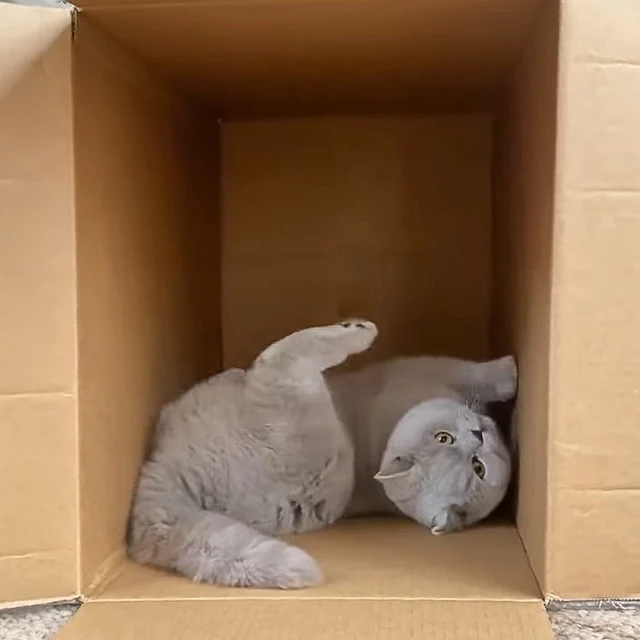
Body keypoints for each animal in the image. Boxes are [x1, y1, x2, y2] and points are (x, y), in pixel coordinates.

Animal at [129, 320, 516, 592]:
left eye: (478, 468)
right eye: (443, 438)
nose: (479, 436)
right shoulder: (419, 368)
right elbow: (475, 373)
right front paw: (511, 369)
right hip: (296, 391)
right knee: (285, 352)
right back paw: (358, 330)